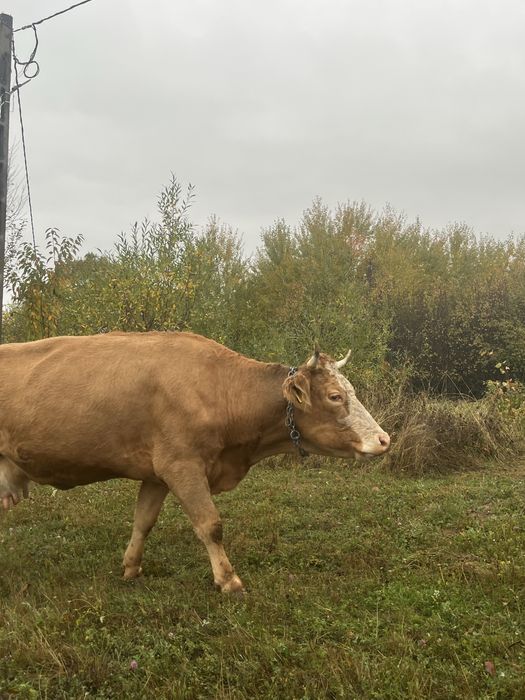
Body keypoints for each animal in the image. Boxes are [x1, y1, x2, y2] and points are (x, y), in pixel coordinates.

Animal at [0, 332, 390, 593]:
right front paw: (229, 580)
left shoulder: (157, 473)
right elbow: (210, 524)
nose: (384, 440)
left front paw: (131, 568)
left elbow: (143, 522)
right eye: (335, 396)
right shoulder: (181, 466)